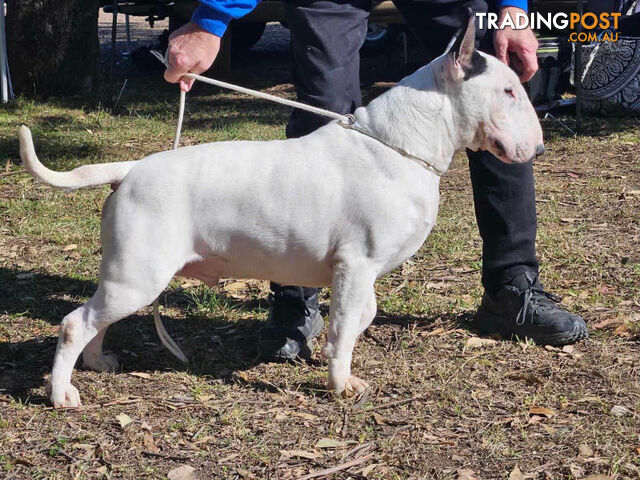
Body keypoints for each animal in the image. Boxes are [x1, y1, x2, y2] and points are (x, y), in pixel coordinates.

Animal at [18, 15, 544, 406]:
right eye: (509, 91)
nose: (538, 149)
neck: (400, 143)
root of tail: (130, 169)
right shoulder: (357, 264)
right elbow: (348, 326)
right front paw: (339, 384)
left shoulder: (359, 272)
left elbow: (361, 315)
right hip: (138, 275)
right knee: (75, 323)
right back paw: (62, 394)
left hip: (128, 275)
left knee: (97, 320)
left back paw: (97, 363)